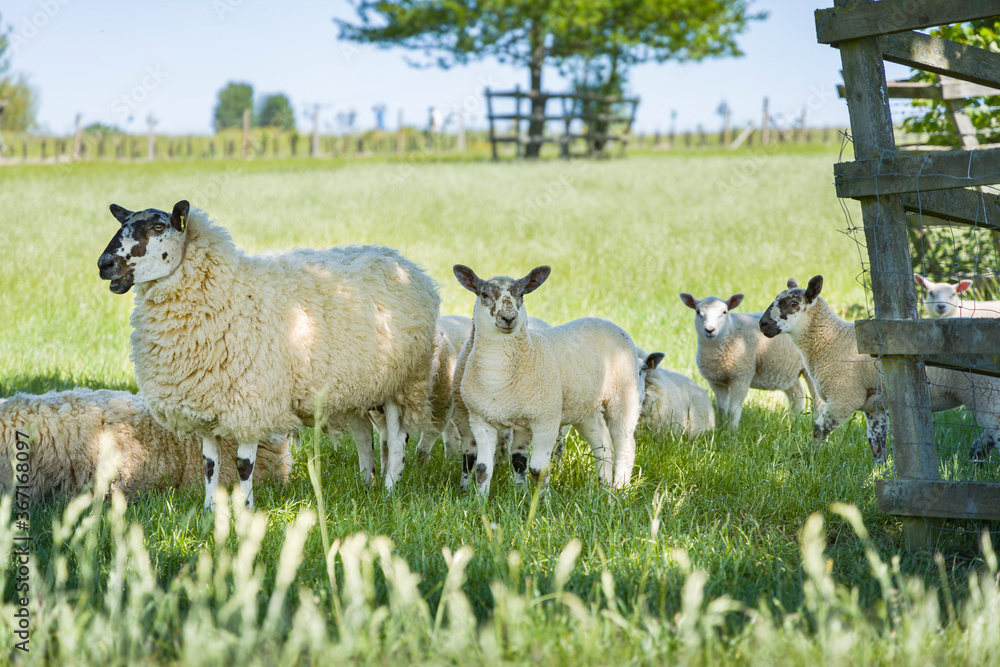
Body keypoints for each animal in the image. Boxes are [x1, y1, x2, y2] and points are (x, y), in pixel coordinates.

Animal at [97, 200, 439, 510]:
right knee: (364, 435)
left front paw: (246, 509)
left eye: (158, 226)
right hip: (355, 384)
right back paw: (365, 483)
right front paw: (209, 510)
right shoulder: (205, 405)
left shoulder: (251, 402)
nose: (104, 264)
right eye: (122, 223)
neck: (226, 292)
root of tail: (401, 261)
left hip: (402, 379)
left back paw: (390, 487)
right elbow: (209, 464)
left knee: (397, 436)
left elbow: (243, 464)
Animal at [453, 264, 642, 494]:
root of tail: (607, 322)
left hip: (624, 394)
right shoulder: (481, 418)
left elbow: (537, 469)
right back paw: (602, 486)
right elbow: (483, 468)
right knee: (602, 441)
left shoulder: (545, 419)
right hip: (584, 405)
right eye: (484, 295)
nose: (508, 318)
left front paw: (542, 500)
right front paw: (480, 500)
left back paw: (620, 488)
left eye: (521, 294)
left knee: (625, 444)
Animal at [679, 292, 821, 428]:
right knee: (797, 394)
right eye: (698, 312)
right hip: (786, 369)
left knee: (817, 400)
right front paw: (722, 426)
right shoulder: (715, 381)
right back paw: (794, 420)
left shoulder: (741, 376)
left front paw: (732, 430)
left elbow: (733, 409)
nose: (709, 330)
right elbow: (722, 407)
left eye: (724, 312)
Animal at [759, 276, 1000, 463]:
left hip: (986, 393)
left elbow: (819, 430)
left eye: (793, 304)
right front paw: (880, 473)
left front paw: (806, 458)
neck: (831, 341)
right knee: (987, 439)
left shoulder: (845, 397)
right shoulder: (873, 407)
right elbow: (876, 444)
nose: (762, 324)